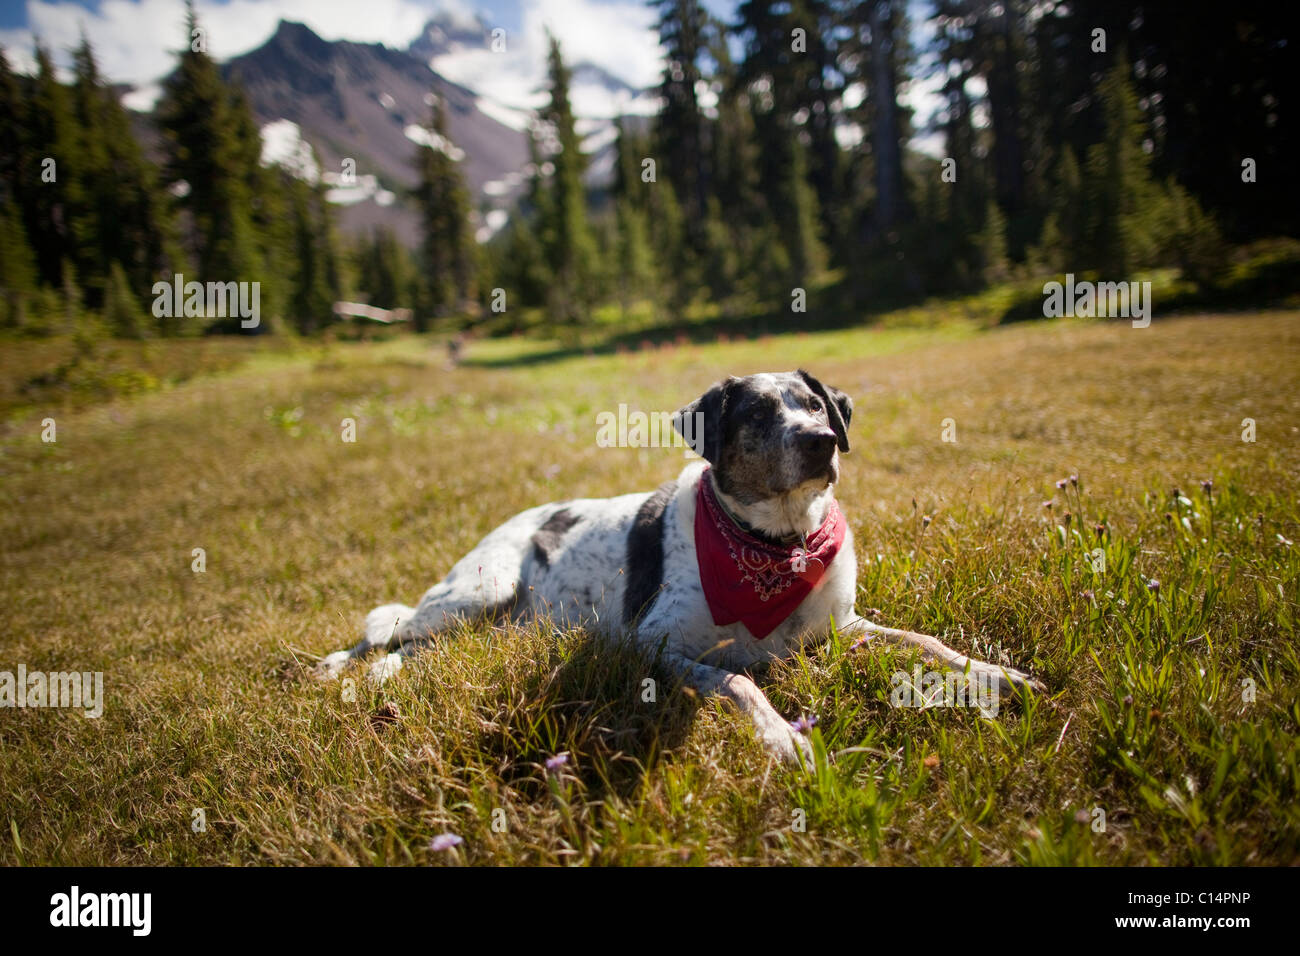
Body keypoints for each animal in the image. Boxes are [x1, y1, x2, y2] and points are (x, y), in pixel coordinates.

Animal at [317, 369, 1045, 764]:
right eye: (756, 413)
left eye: (815, 405)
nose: (821, 441)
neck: (776, 543)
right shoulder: (653, 645)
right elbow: (741, 682)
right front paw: (782, 740)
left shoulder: (843, 626)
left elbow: (926, 640)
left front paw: (996, 674)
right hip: (482, 587)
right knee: (390, 633)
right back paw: (346, 670)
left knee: (419, 646)